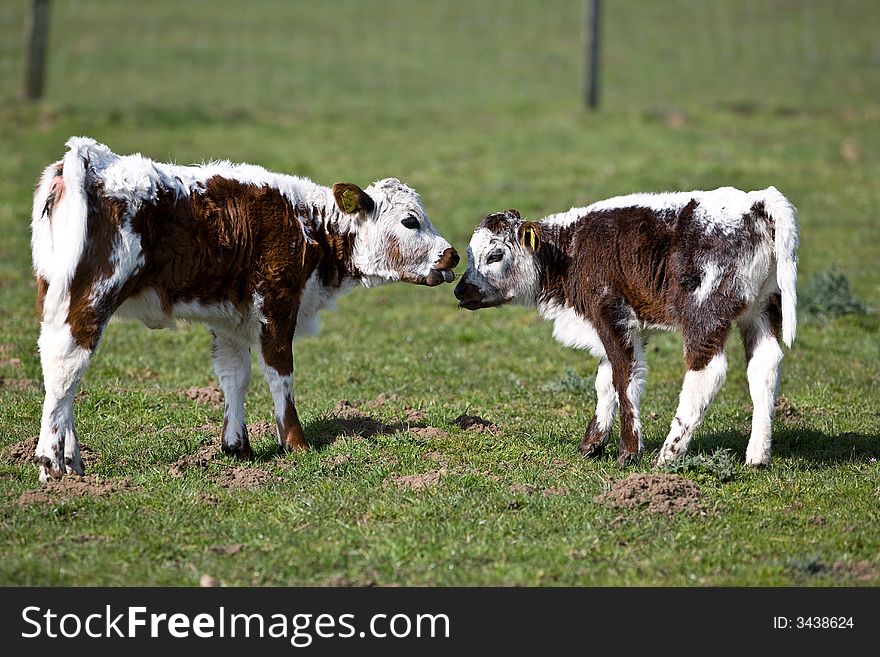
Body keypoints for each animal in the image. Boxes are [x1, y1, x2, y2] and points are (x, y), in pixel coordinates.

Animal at [32, 136, 460, 482]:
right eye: (410, 221)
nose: (452, 255)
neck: (309, 224)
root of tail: (88, 158)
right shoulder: (278, 304)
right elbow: (279, 373)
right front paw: (295, 443)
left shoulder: (229, 320)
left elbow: (234, 375)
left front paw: (237, 446)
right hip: (92, 297)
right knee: (65, 368)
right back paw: (51, 464)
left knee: (62, 375)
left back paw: (72, 460)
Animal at [454, 186, 796, 466]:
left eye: (495, 254)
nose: (460, 290)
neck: (569, 253)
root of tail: (755, 202)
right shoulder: (630, 329)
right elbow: (605, 381)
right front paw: (591, 445)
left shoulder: (611, 315)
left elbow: (624, 378)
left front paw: (629, 451)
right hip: (762, 307)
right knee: (764, 366)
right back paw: (757, 456)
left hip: (704, 312)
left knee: (707, 372)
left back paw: (668, 455)